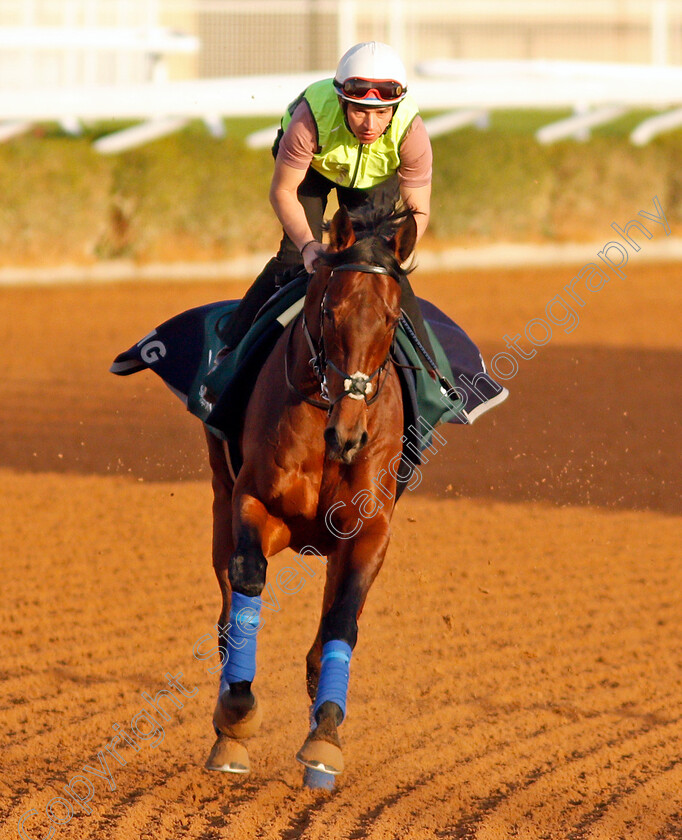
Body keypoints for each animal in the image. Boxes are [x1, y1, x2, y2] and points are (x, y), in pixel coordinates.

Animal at [202, 200, 414, 784]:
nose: (349, 435)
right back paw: (227, 731)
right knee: (227, 609)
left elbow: (341, 622)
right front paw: (237, 712)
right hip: (220, 498)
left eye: (391, 318)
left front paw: (325, 737)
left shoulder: (368, 531)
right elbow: (248, 580)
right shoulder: (254, 501)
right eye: (331, 311)